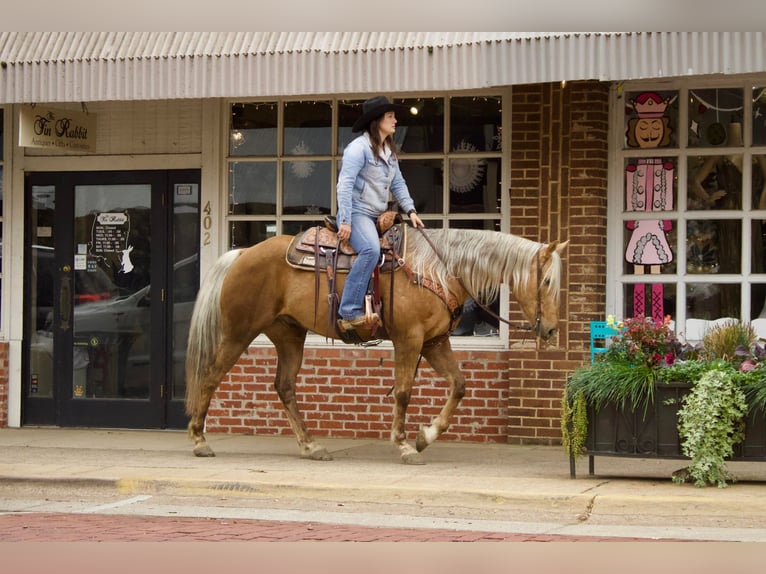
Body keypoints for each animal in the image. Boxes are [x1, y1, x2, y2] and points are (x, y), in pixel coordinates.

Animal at [186, 227, 568, 466]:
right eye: (547, 281)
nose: (550, 329)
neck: (438, 269)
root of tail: (242, 253)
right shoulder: (409, 339)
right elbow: (403, 391)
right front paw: (404, 445)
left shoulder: (435, 342)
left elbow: (459, 386)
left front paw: (426, 435)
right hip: (239, 332)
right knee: (210, 376)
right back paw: (200, 441)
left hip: (289, 335)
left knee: (284, 387)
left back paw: (311, 445)